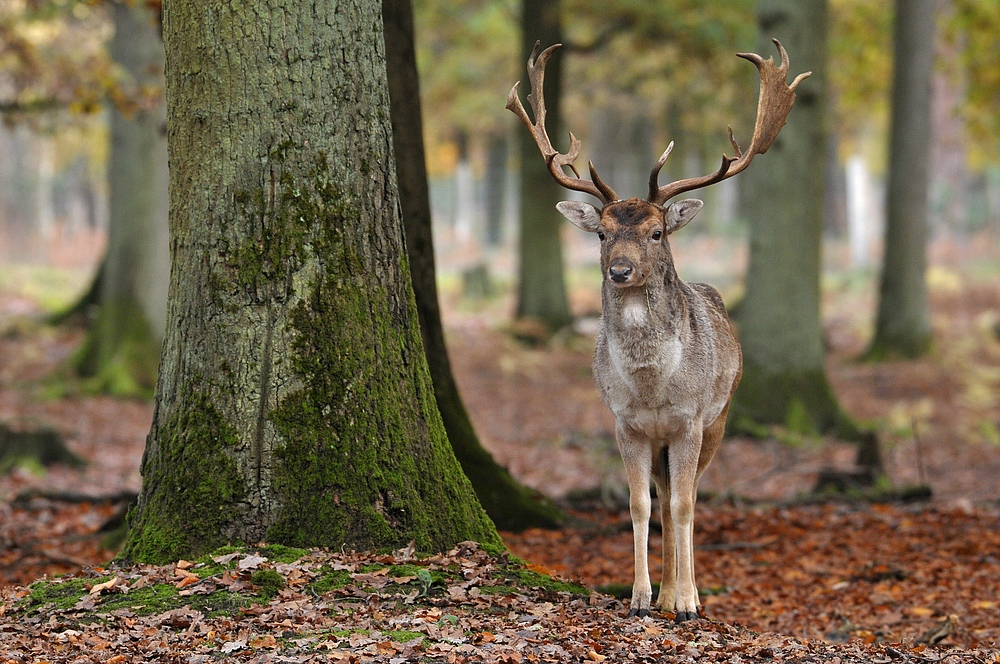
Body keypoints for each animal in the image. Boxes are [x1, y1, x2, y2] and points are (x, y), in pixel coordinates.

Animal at [508, 39, 812, 620]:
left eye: (655, 232)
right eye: (601, 233)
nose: (619, 270)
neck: (652, 386)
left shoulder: (690, 420)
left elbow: (687, 503)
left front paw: (690, 602)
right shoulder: (626, 423)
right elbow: (638, 504)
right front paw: (641, 598)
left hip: (719, 418)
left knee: (682, 496)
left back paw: (682, 595)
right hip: (660, 442)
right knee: (662, 500)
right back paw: (665, 593)